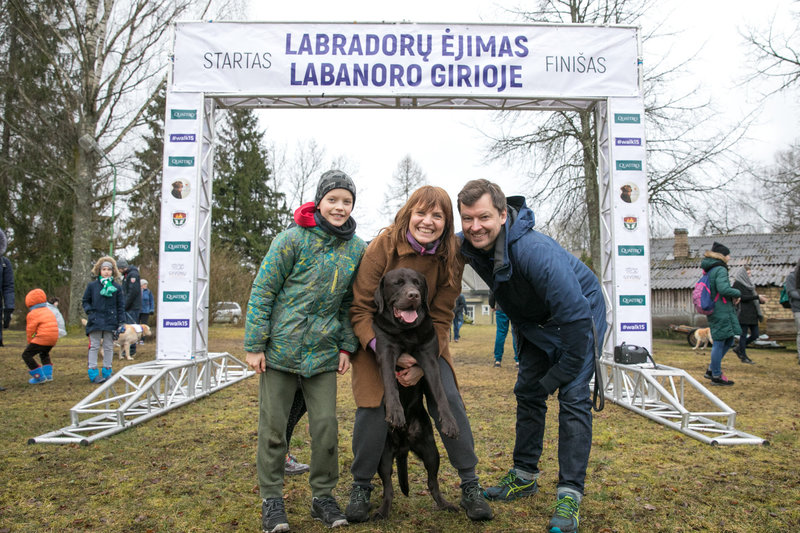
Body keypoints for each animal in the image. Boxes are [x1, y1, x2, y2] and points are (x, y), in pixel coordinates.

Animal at [372, 268, 460, 516]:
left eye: (418, 283)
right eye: (397, 283)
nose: (413, 295)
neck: (406, 332)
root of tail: (403, 445)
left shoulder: (429, 358)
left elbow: (440, 393)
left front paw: (450, 422)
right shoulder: (386, 352)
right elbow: (391, 386)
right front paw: (395, 413)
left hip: (431, 452)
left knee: (432, 483)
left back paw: (446, 505)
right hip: (383, 457)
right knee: (388, 487)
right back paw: (382, 511)